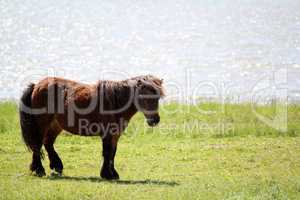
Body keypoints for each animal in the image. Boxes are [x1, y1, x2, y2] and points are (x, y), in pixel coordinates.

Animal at [19, 75, 164, 180]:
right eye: (144, 97)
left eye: (157, 98)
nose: (154, 120)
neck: (115, 102)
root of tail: (36, 85)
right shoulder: (107, 134)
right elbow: (107, 153)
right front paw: (107, 175)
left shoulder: (115, 134)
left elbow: (113, 153)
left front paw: (113, 174)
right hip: (42, 124)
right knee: (37, 144)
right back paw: (39, 170)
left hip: (55, 125)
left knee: (48, 143)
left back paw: (57, 167)